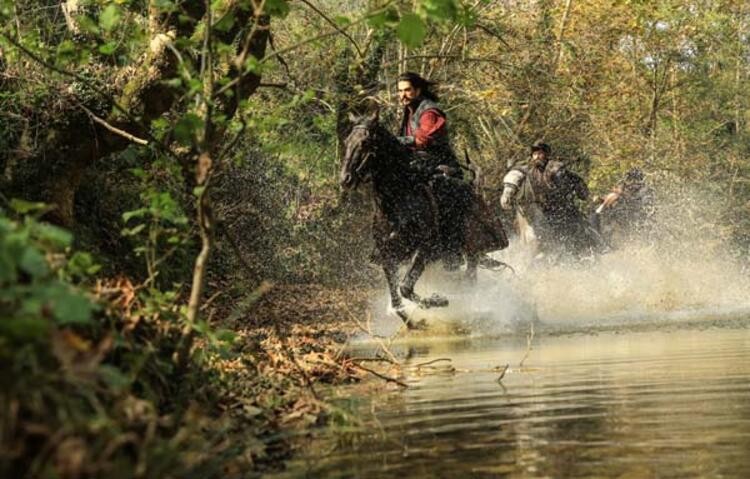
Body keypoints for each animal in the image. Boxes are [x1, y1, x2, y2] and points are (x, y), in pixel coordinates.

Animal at [342, 112, 512, 330]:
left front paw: (438, 300)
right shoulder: (388, 256)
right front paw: (414, 323)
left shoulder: (425, 250)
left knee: (469, 281)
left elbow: (405, 287)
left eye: (365, 143)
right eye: (346, 141)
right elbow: (397, 300)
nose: (345, 179)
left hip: (473, 250)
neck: (398, 203)